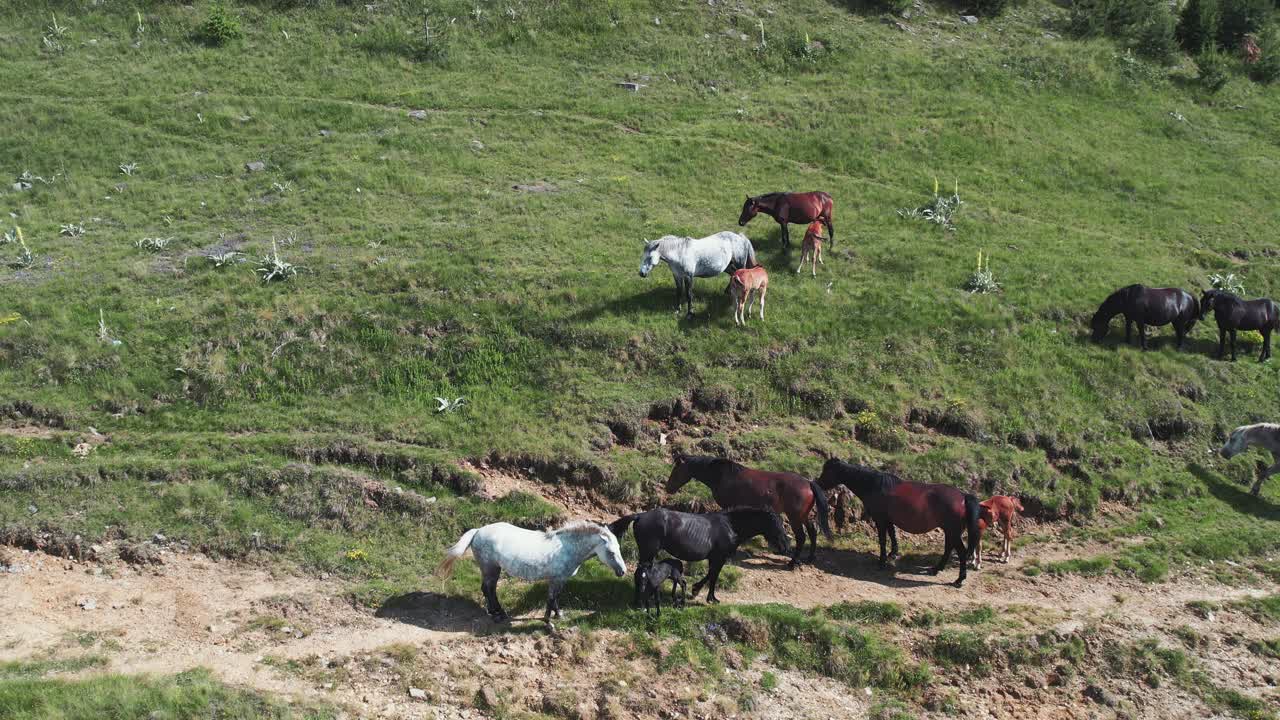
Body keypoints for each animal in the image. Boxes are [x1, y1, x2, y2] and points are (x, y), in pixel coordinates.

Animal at [435, 515, 624, 622]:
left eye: (619, 549)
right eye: (610, 552)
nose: (623, 572)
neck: (567, 548)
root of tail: (478, 531)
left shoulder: (558, 580)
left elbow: (553, 597)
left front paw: (555, 615)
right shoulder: (557, 579)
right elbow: (552, 598)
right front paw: (550, 619)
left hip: (491, 569)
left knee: (488, 589)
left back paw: (493, 611)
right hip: (491, 568)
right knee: (489, 589)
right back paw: (498, 614)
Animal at [606, 507, 788, 602]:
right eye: (775, 523)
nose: (785, 547)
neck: (730, 526)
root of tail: (640, 516)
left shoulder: (715, 558)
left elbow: (710, 575)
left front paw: (695, 591)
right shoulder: (719, 558)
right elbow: (714, 576)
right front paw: (711, 598)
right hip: (648, 552)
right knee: (640, 573)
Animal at [665, 453, 834, 566]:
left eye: (676, 470)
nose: (668, 488)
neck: (722, 476)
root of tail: (808, 482)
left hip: (794, 517)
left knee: (801, 537)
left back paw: (793, 563)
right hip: (803, 516)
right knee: (812, 532)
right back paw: (809, 559)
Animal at [814, 456, 983, 586]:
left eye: (827, 470)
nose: (817, 483)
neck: (874, 485)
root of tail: (963, 496)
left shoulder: (880, 519)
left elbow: (883, 540)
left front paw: (882, 562)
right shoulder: (888, 520)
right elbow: (892, 535)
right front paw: (893, 554)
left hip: (952, 531)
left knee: (960, 552)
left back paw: (959, 579)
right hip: (950, 531)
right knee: (948, 548)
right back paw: (936, 569)